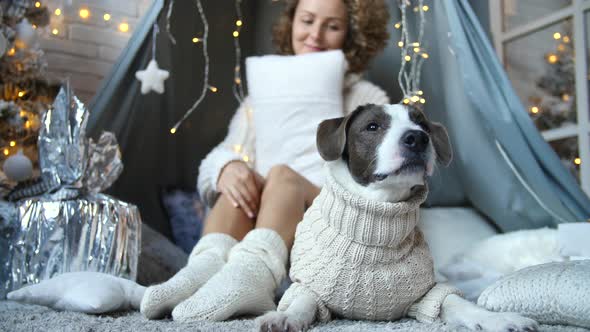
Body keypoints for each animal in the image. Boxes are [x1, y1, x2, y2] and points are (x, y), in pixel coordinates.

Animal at [256, 104, 540, 332]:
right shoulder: (314, 287)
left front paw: (498, 319)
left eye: (422, 124)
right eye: (372, 126)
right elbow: (303, 300)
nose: (418, 138)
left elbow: (455, 301)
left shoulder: (428, 292)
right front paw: (285, 317)